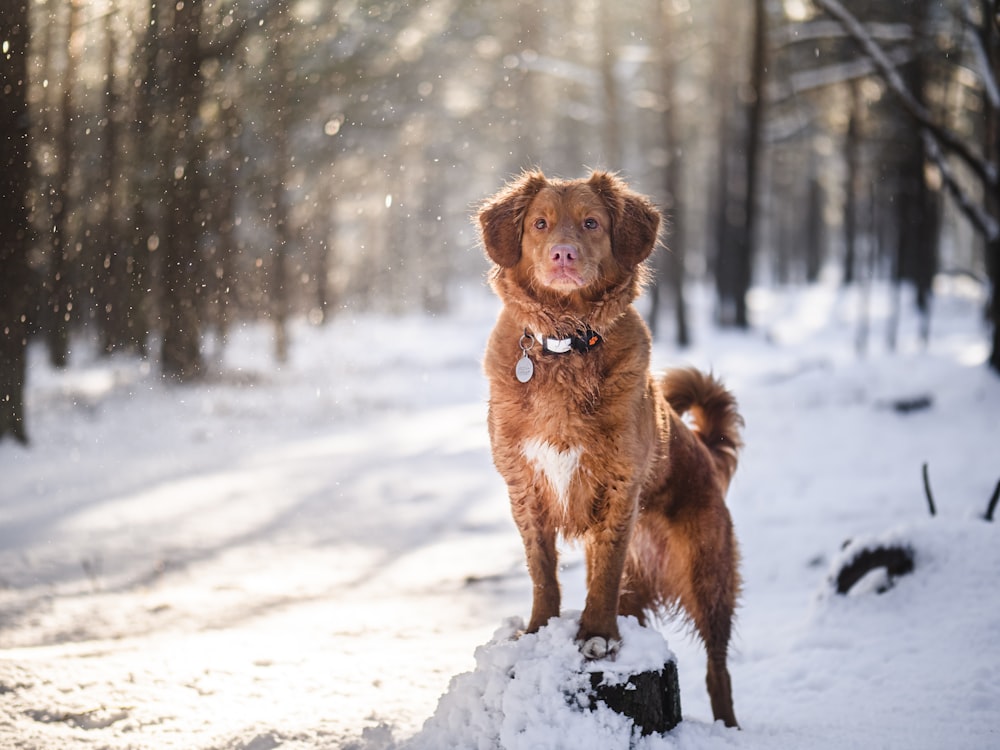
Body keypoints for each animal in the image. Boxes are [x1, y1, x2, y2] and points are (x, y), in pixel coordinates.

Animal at [476, 170, 744, 728]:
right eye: (540, 224)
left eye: (591, 223)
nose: (563, 254)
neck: (565, 341)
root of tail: (706, 457)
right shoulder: (523, 486)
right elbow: (542, 571)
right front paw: (538, 629)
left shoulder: (619, 486)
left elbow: (602, 571)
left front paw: (596, 636)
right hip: (645, 589)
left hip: (708, 577)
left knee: (718, 669)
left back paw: (729, 724)